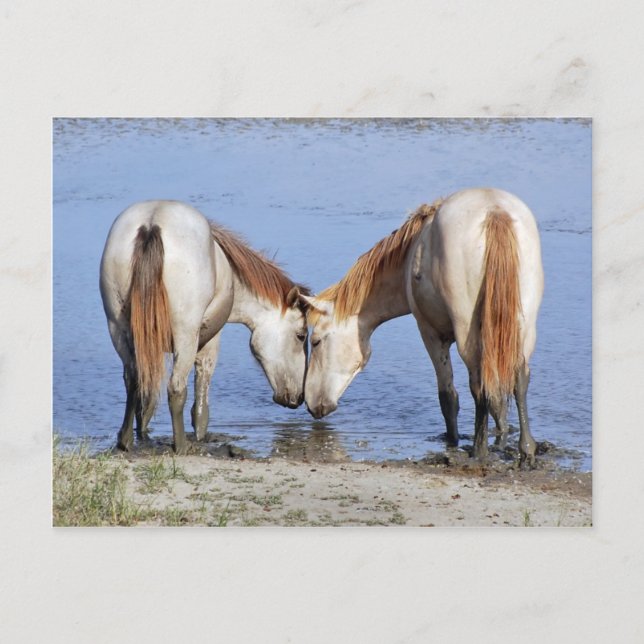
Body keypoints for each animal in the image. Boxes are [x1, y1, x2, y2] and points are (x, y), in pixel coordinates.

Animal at [99, 200, 309, 455]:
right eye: (301, 335)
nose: (299, 398)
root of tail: (152, 223)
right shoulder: (209, 342)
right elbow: (200, 402)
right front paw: (199, 436)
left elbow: (146, 398)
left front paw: (144, 433)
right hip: (185, 338)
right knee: (176, 389)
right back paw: (181, 447)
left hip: (118, 329)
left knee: (132, 380)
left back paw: (126, 441)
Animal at [300, 188, 544, 466]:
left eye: (316, 341)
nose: (311, 403)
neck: (410, 255)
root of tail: (494, 211)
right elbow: (496, 397)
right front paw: (501, 435)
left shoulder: (430, 333)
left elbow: (449, 397)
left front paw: (453, 441)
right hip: (523, 327)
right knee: (520, 378)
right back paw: (526, 450)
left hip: (467, 333)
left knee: (478, 384)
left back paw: (479, 451)